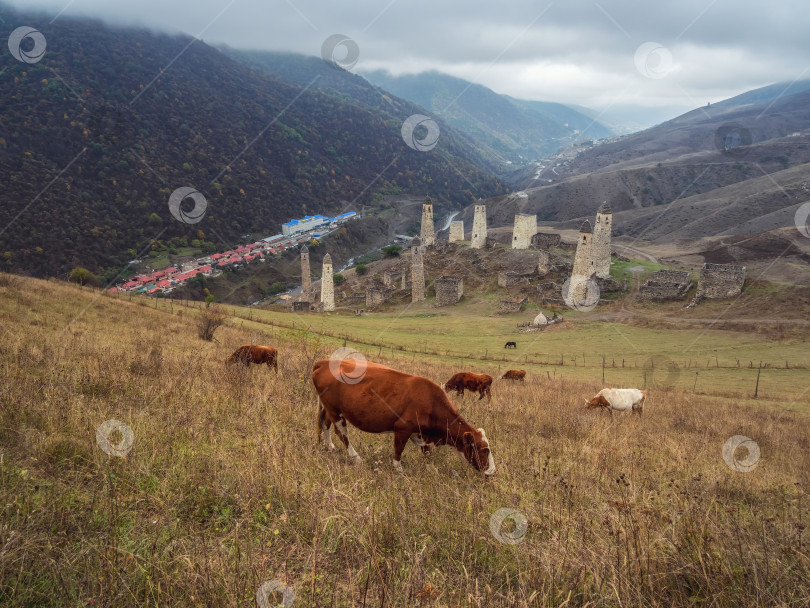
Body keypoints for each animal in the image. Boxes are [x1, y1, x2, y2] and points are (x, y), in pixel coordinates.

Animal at [312, 358, 496, 478]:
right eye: (484, 450)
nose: (492, 472)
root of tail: (324, 361)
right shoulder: (402, 428)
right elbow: (398, 450)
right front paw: (399, 470)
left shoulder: (420, 432)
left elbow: (426, 451)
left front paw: (431, 469)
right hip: (335, 410)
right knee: (341, 432)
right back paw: (356, 457)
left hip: (329, 408)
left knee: (325, 424)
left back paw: (329, 446)